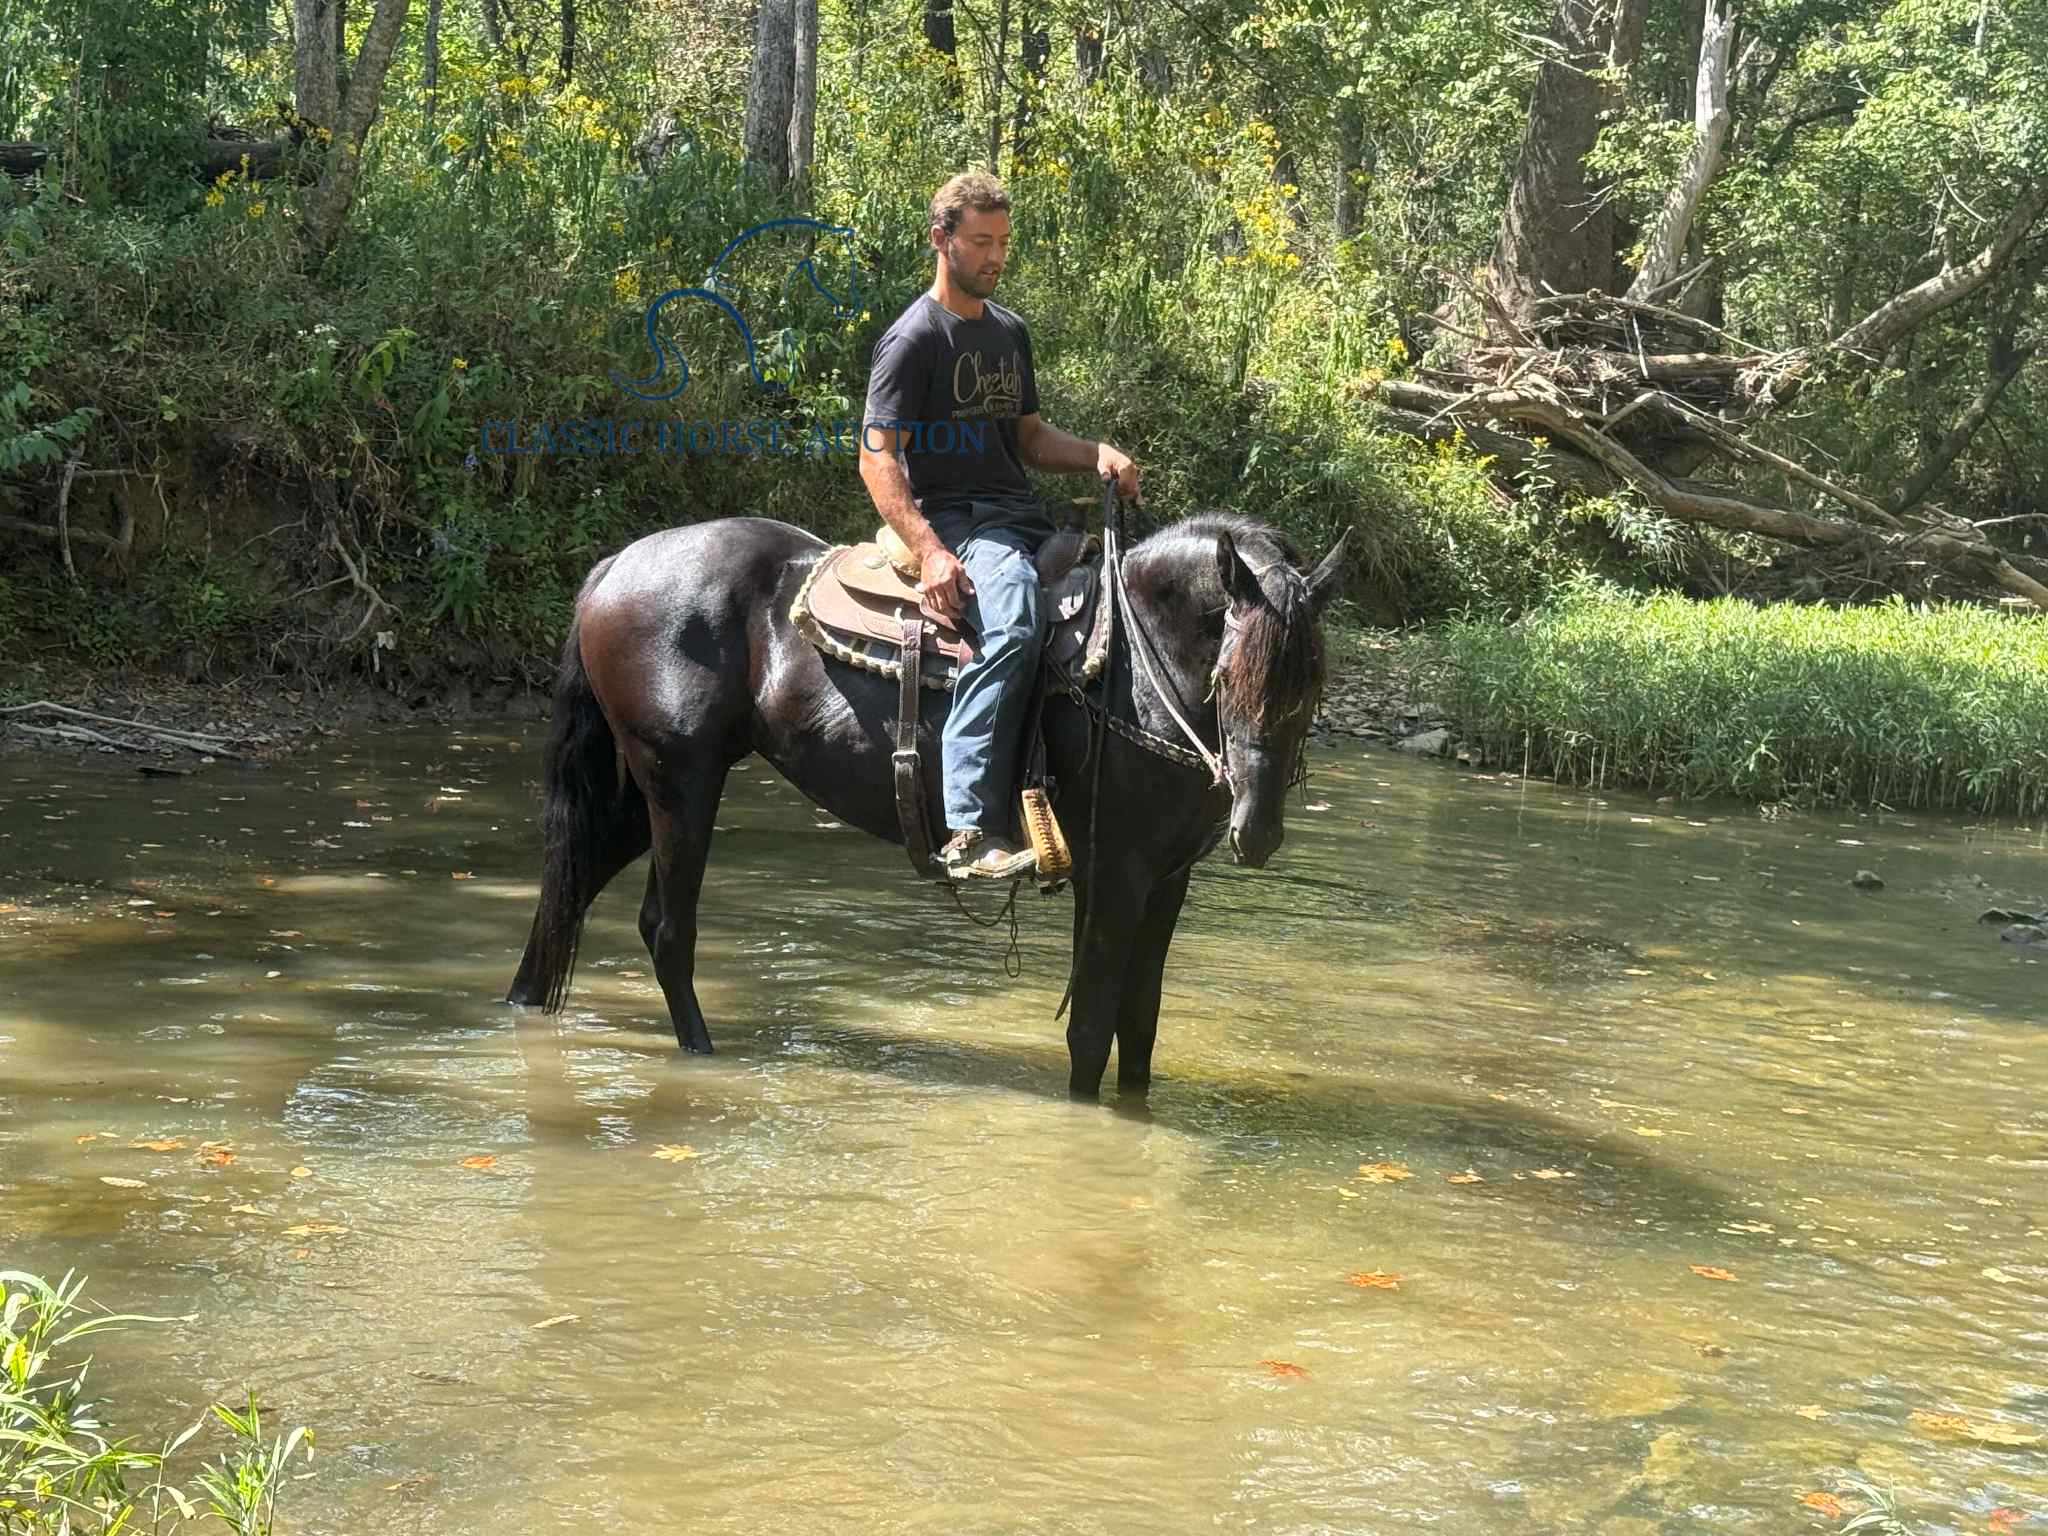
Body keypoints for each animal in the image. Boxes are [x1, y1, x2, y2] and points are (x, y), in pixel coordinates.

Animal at [505, 509, 1348, 1100]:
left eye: (1312, 685)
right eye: (1232, 674)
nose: (1256, 832)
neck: (1134, 674)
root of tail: (615, 567)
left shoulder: (1166, 882)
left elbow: (1139, 1029)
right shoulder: (1113, 877)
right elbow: (1092, 1027)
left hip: (648, 794)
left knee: (569, 889)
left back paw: (522, 1007)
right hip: (682, 785)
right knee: (665, 927)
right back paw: (700, 1055)